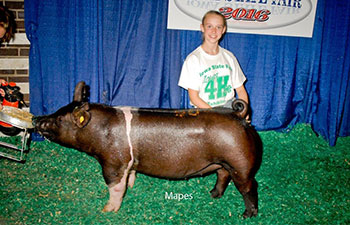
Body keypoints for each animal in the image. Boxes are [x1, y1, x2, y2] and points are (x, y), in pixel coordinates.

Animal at [33, 81, 262, 218]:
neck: (99, 131)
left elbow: (114, 187)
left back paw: (247, 215)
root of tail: (238, 116)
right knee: (223, 175)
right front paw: (132, 186)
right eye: (58, 110)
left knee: (249, 186)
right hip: (223, 162)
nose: (36, 119)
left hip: (240, 163)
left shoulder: (113, 162)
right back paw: (213, 194)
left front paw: (107, 211)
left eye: (59, 120)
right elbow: (130, 176)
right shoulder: (128, 163)